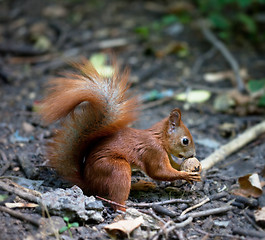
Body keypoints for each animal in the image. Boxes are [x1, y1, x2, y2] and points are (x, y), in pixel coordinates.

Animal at [39, 59, 200, 210]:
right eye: (185, 141)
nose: (193, 155)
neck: (159, 138)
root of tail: (88, 183)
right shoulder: (153, 151)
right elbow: (159, 172)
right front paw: (186, 175)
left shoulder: (165, 153)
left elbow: (171, 165)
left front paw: (187, 169)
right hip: (116, 169)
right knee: (116, 198)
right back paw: (125, 209)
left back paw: (141, 186)